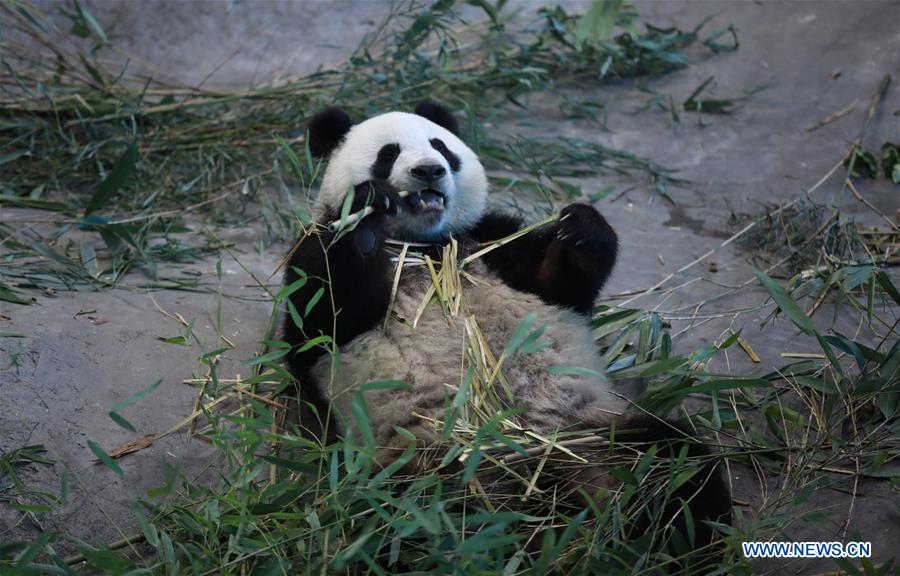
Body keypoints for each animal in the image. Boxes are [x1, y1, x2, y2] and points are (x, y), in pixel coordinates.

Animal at [283, 100, 731, 555]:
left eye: (440, 146)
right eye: (388, 154)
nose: (429, 171)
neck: (424, 245)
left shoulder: (491, 241)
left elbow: (559, 284)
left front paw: (581, 228)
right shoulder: (314, 265)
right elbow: (323, 315)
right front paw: (367, 212)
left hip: (593, 434)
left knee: (677, 469)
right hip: (416, 469)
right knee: (402, 525)